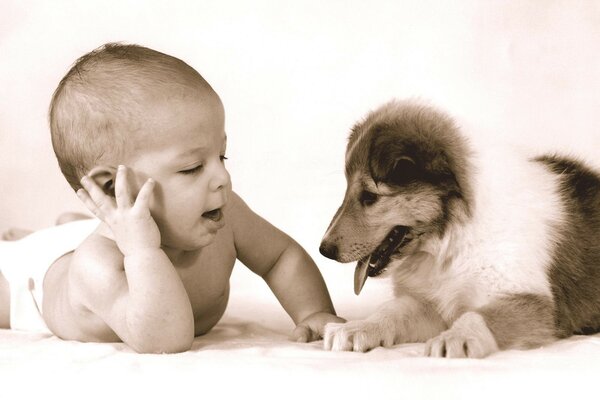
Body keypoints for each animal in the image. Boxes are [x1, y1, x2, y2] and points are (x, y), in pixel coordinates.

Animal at [322, 101, 600, 360]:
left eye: (369, 196)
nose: (324, 250)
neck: (451, 240)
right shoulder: (430, 303)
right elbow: (390, 312)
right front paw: (357, 328)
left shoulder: (530, 300)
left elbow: (477, 315)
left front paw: (455, 338)